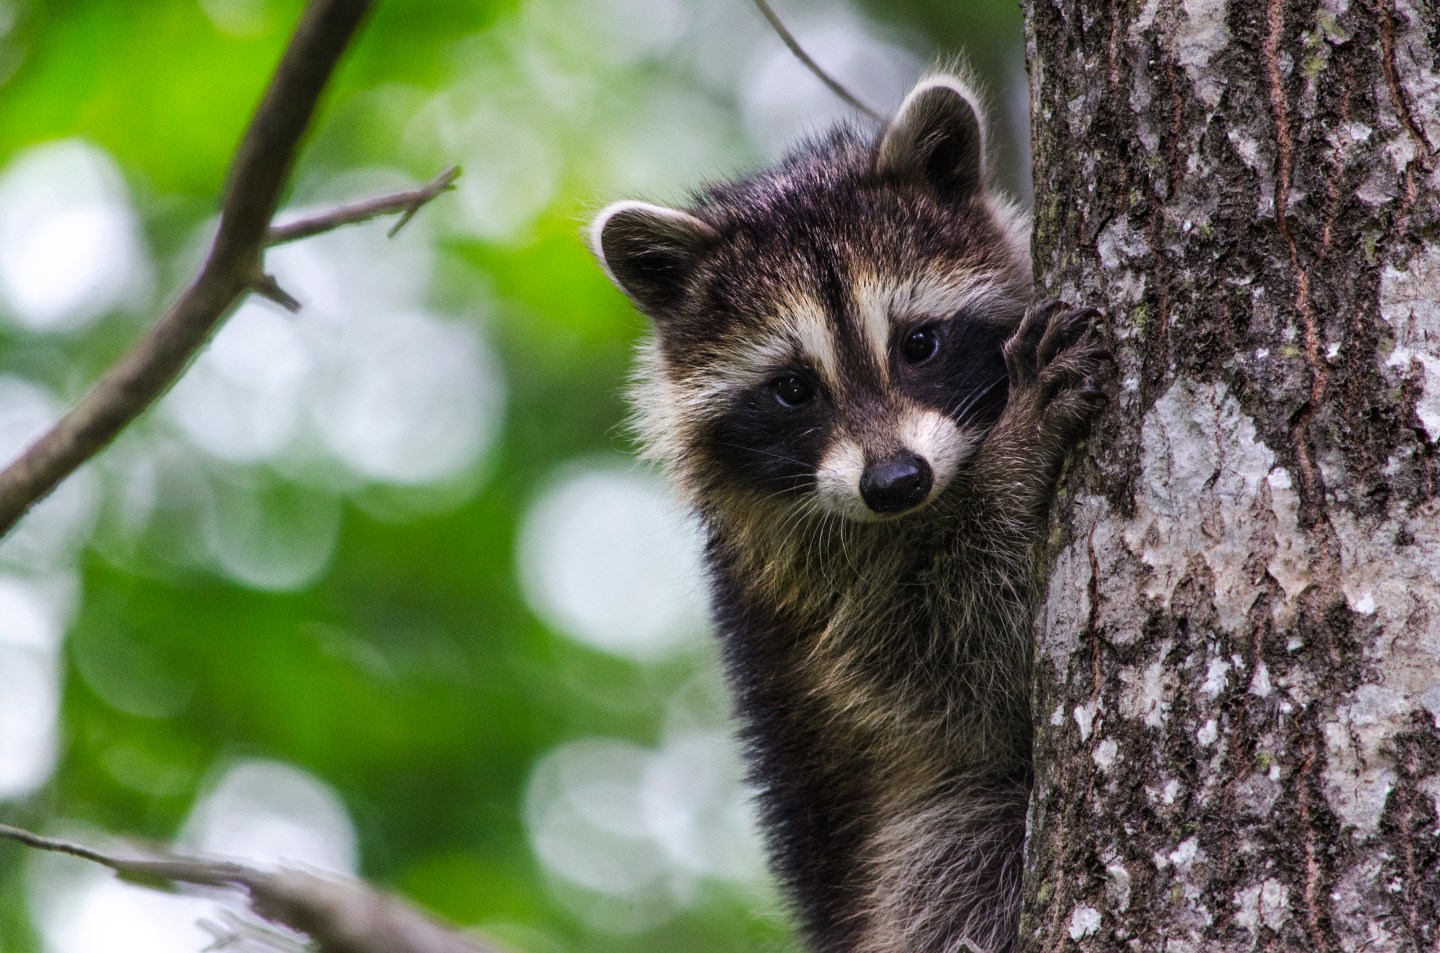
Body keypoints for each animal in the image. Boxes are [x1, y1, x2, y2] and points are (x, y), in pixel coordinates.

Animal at [590, 74, 1106, 953]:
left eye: (919, 343)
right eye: (794, 388)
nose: (896, 481)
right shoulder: (818, 583)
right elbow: (962, 663)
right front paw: (1014, 458)